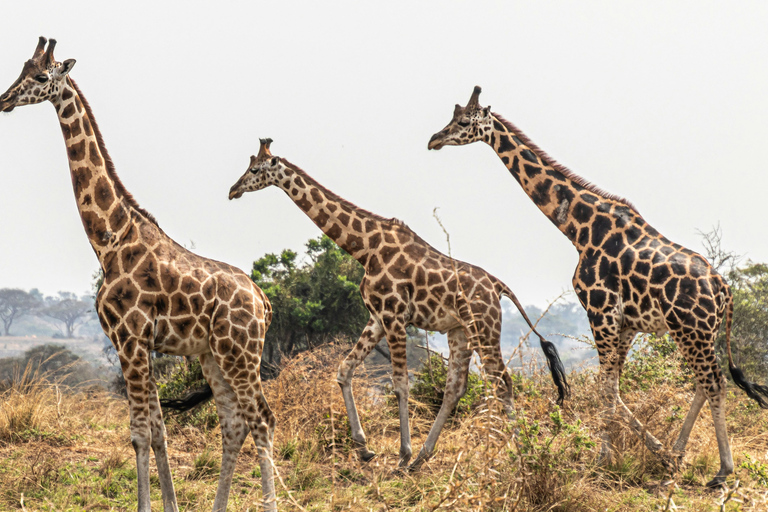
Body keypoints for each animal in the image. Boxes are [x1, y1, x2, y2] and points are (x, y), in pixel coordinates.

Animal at [0, 38, 280, 510]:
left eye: (40, 76)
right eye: (20, 68)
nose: (3, 99)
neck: (109, 241)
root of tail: (263, 300)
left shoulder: (130, 338)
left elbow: (140, 434)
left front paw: (149, 504)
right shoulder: (136, 343)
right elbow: (158, 430)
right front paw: (170, 504)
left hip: (241, 352)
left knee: (263, 419)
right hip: (213, 355)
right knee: (234, 423)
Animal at [228, 138, 568, 470]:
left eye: (256, 169)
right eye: (248, 164)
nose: (233, 190)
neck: (364, 249)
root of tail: (498, 286)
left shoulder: (394, 316)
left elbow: (401, 383)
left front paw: (401, 453)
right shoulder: (377, 318)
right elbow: (345, 369)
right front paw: (364, 448)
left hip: (483, 327)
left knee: (502, 381)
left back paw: (521, 452)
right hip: (460, 331)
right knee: (456, 387)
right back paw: (423, 457)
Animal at [426, 86, 768, 486]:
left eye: (464, 121)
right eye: (452, 117)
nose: (434, 140)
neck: (579, 230)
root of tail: (724, 290)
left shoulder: (600, 310)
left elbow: (606, 386)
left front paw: (604, 458)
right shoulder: (625, 322)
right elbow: (612, 385)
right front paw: (654, 452)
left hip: (690, 329)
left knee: (714, 382)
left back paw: (722, 469)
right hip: (696, 332)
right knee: (703, 382)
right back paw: (679, 453)